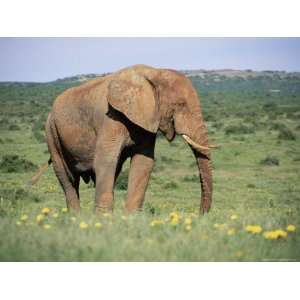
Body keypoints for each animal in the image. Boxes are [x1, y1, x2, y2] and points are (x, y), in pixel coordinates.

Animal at [43, 63, 214, 213]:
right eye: (180, 104)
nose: (200, 215)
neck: (154, 72)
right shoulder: (110, 118)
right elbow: (105, 161)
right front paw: (103, 220)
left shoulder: (147, 119)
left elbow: (143, 162)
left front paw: (129, 219)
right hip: (51, 132)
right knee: (67, 178)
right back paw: (76, 218)